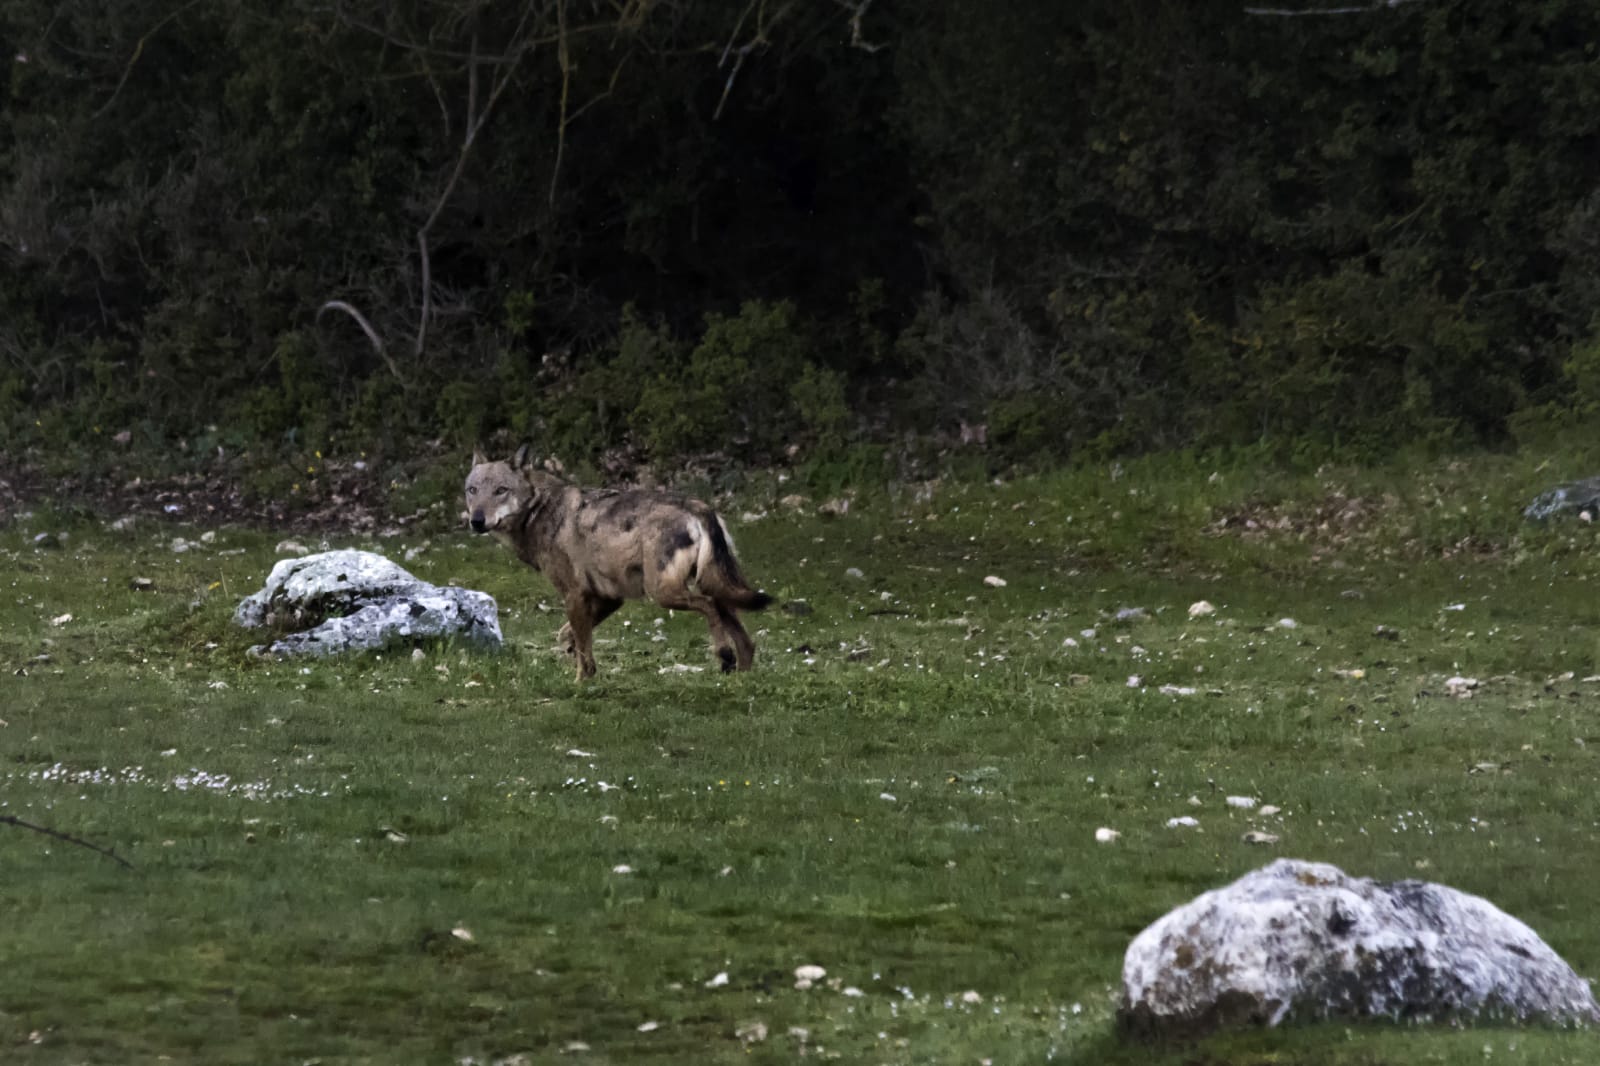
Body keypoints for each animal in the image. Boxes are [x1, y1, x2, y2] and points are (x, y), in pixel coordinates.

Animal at [464, 445, 773, 679]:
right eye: (472, 490)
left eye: (501, 490)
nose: (476, 521)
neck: (539, 510)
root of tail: (699, 507)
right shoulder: (609, 598)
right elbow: (570, 638)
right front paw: (582, 666)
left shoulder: (575, 595)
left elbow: (582, 648)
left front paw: (580, 684)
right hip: (712, 587)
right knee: (745, 640)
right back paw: (740, 676)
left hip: (665, 593)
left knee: (708, 608)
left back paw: (724, 656)